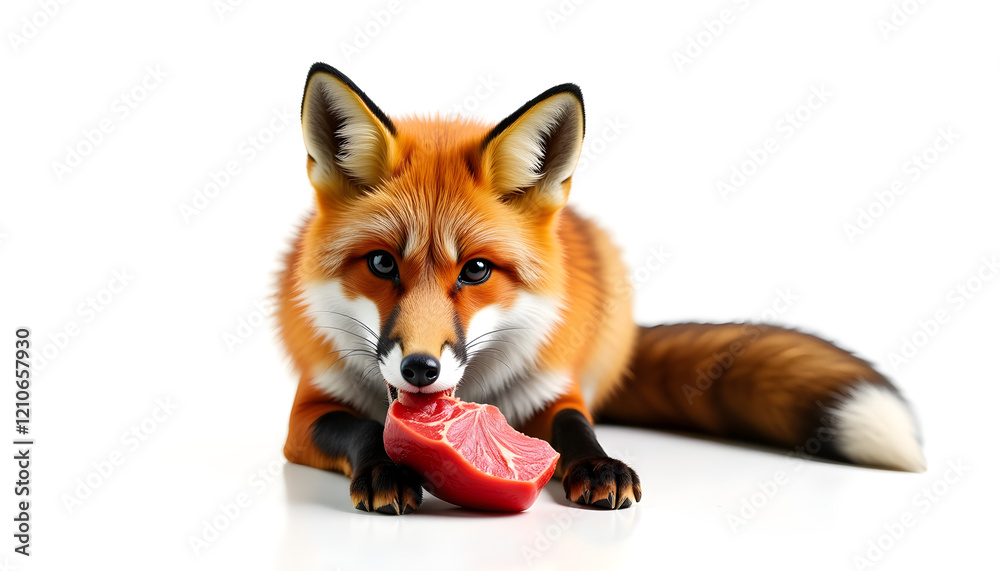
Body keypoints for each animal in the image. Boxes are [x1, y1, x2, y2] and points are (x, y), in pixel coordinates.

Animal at [277, 62, 925, 514]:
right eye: (382, 264)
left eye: (477, 271)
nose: (419, 368)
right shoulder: (305, 413)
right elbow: (363, 426)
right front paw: (386, 468)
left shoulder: (554, 387)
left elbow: (575, 427)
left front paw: (599, 466)